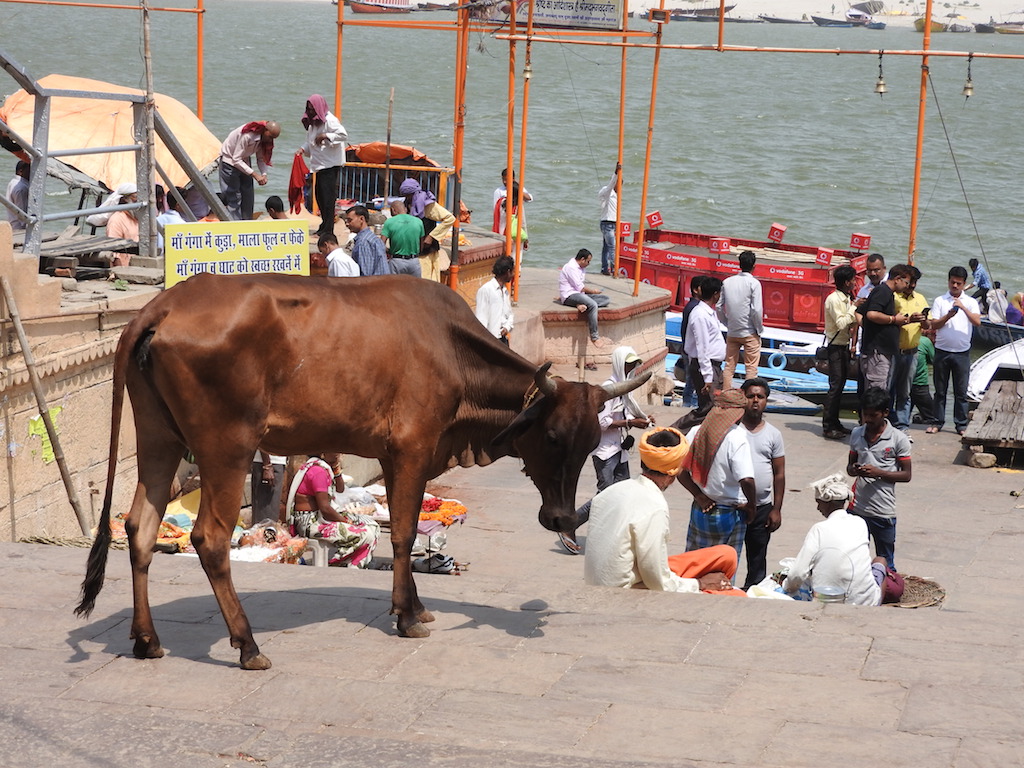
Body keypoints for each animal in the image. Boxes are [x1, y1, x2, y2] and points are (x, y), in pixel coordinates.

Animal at [75, 274, 647, 671]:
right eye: (552, 438)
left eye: (591, 442)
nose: (562, 519)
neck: (454, 352)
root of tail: (160, 306)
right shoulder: (414, 448)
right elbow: (405, 534)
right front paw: (407, 617)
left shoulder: (397, 457)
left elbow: (402, 531)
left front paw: (414, 607)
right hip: (226, 446)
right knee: (209, 539)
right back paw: (247, 644)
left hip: (159, 438)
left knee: (139, 529)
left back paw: (147, 640)